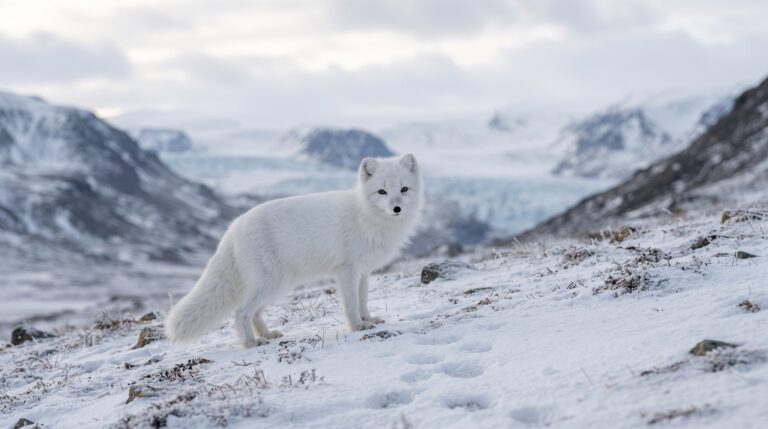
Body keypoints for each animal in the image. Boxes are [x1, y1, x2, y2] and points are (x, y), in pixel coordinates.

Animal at [165, 154, 423, 347]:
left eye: (404, 189)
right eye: (381, 192)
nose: (397, 208)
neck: (365, 214)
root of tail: (233, 228)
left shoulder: (363, 271)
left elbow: (363, 300)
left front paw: (369, 319)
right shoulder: (346, 270)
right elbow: (351, 304)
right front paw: (357, 326)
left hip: (277, 286)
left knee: (254, 313)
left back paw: (267, 335)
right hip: (270, 283)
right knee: (240, 313)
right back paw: (251, 343)